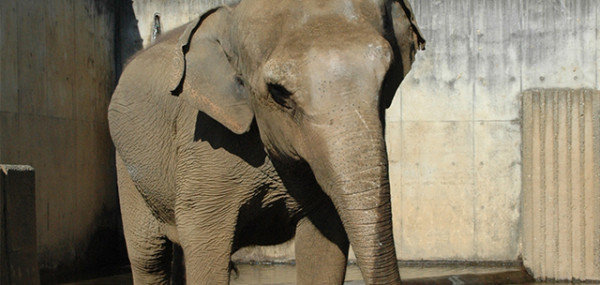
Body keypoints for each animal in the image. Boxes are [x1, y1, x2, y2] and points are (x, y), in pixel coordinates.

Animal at [109, 0, 426, 282]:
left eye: (387, 79)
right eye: (278, 92)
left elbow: (325, 241)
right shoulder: (204, 143)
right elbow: (203, 240)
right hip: (128, 171)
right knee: (149, 259)